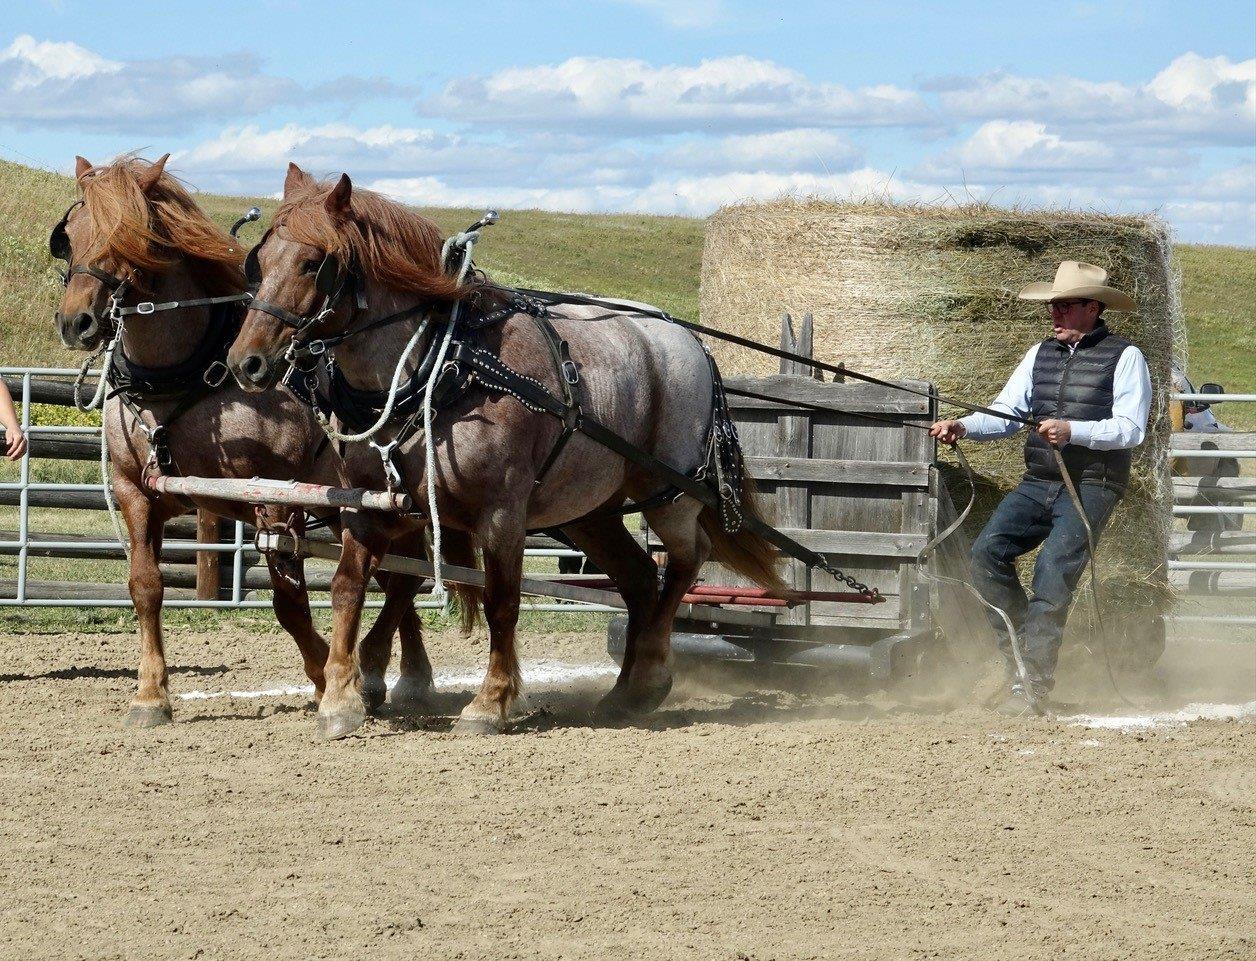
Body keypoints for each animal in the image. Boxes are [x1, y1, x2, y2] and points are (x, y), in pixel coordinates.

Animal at [51, 155, 477, 728]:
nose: (77, 322)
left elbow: (289, 604)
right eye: (71, 235)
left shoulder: (275, 495)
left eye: (129, 236)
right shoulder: (133, 490)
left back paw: (378, 671)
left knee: (402, 577)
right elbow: (145, 586)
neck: (187, 377)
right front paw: (150, 695)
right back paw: (406, 675)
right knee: (396, 575)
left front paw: (325, 678)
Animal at [226, 164, 783, 738]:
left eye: (313, 263)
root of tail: (691, 343)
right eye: (259, 262)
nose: (246, 363)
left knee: (687, 558)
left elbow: (501, 602)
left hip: (669, 492)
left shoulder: (501, 510)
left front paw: (490, 702)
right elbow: (347, 587)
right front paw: (340, 698)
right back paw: (625, 692)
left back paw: (650, 672)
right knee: (639, 578)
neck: (442, 366)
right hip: (590, 513)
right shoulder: (364, 504)